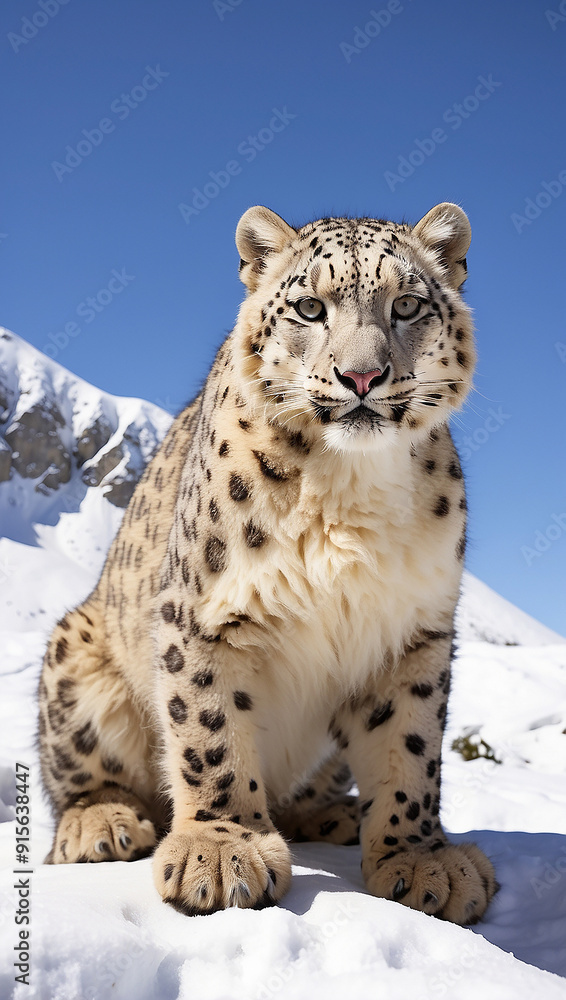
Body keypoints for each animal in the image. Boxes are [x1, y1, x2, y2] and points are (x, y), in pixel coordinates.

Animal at [38, 201, 498, 923]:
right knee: (81, 775)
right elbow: (210, 727)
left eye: (407, 305)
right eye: (310, 307)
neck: (350, 493)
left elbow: (413, 745)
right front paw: (223, 852)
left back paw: (337, 815)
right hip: (76, 659)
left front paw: (419, 858)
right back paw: (103, 822)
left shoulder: (415, 630)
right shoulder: (205, 611)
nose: (362, 376)